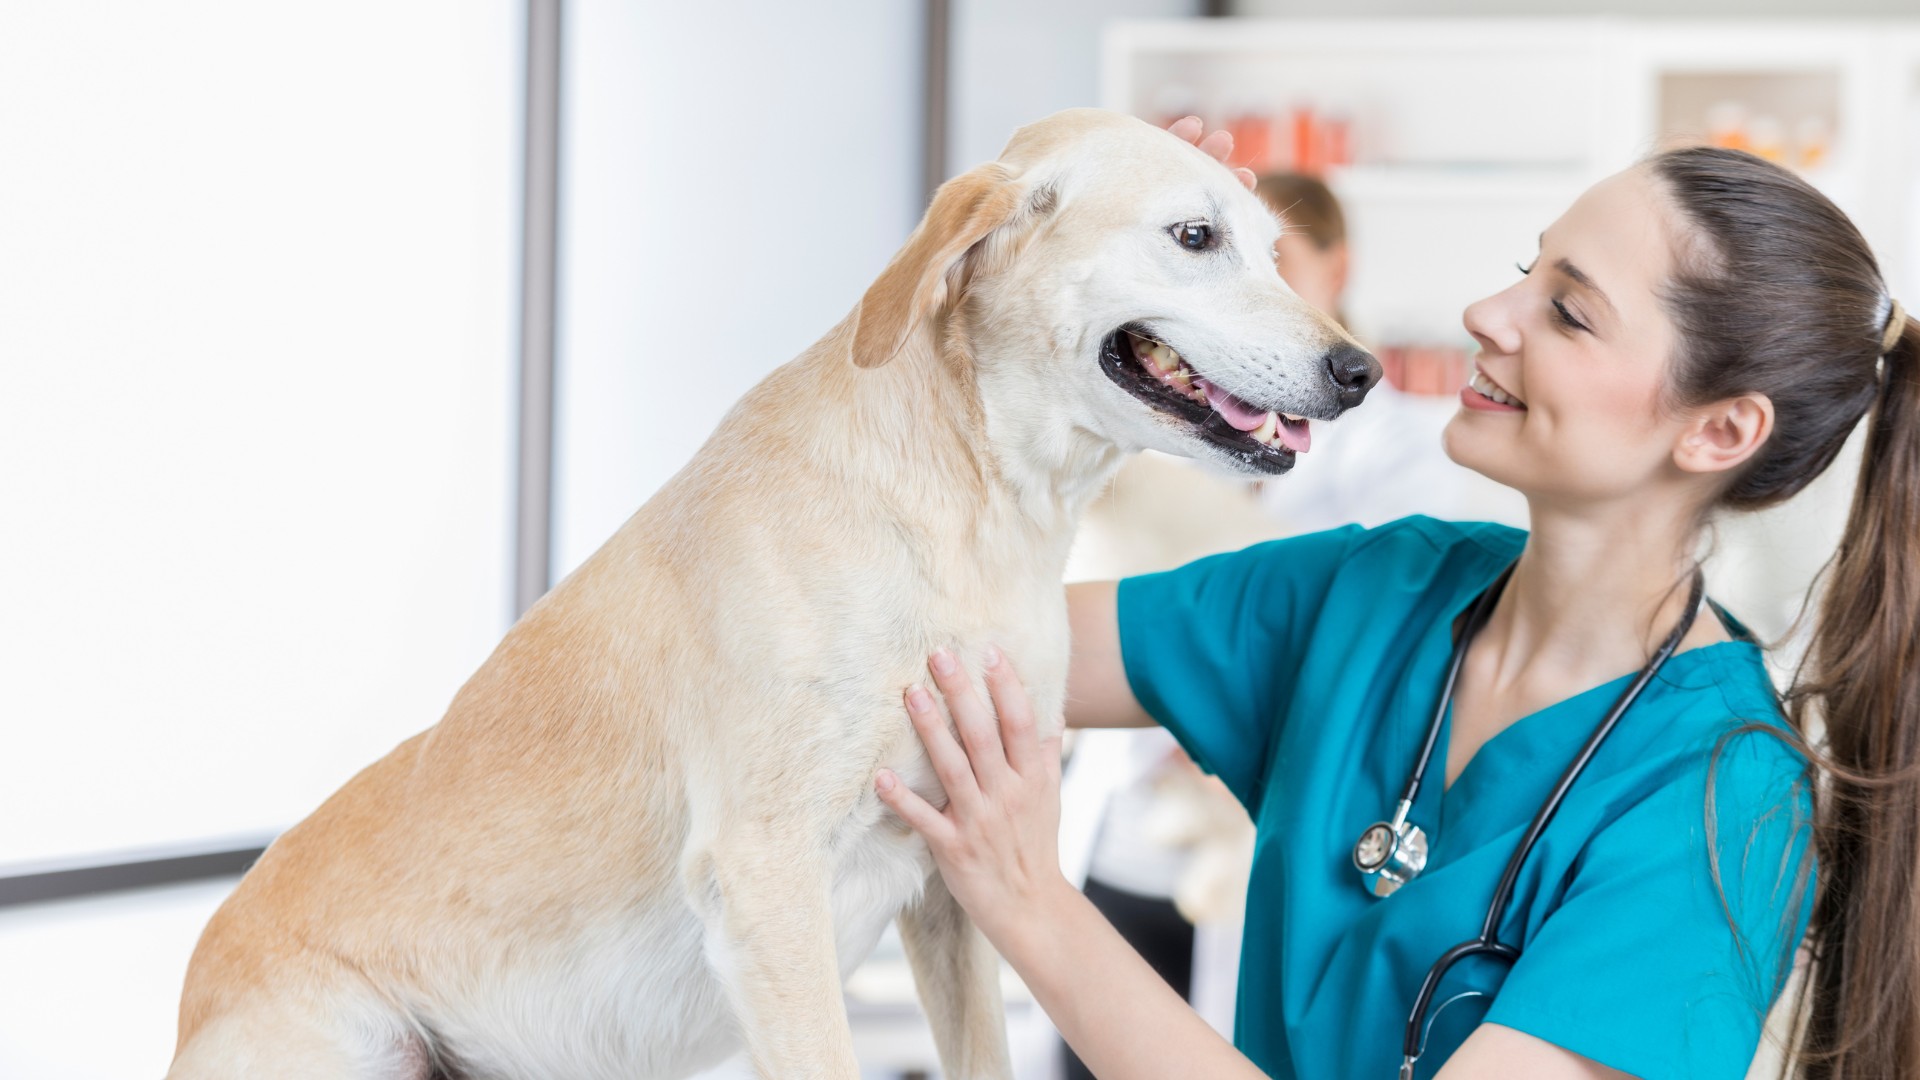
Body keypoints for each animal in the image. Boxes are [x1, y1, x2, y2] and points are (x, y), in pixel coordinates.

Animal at [161, 107, 1367, 1076]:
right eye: (1195, 238)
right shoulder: (768, 882)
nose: (1361, 372)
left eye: (1273, 250)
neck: (975, 514)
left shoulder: (957, 881)